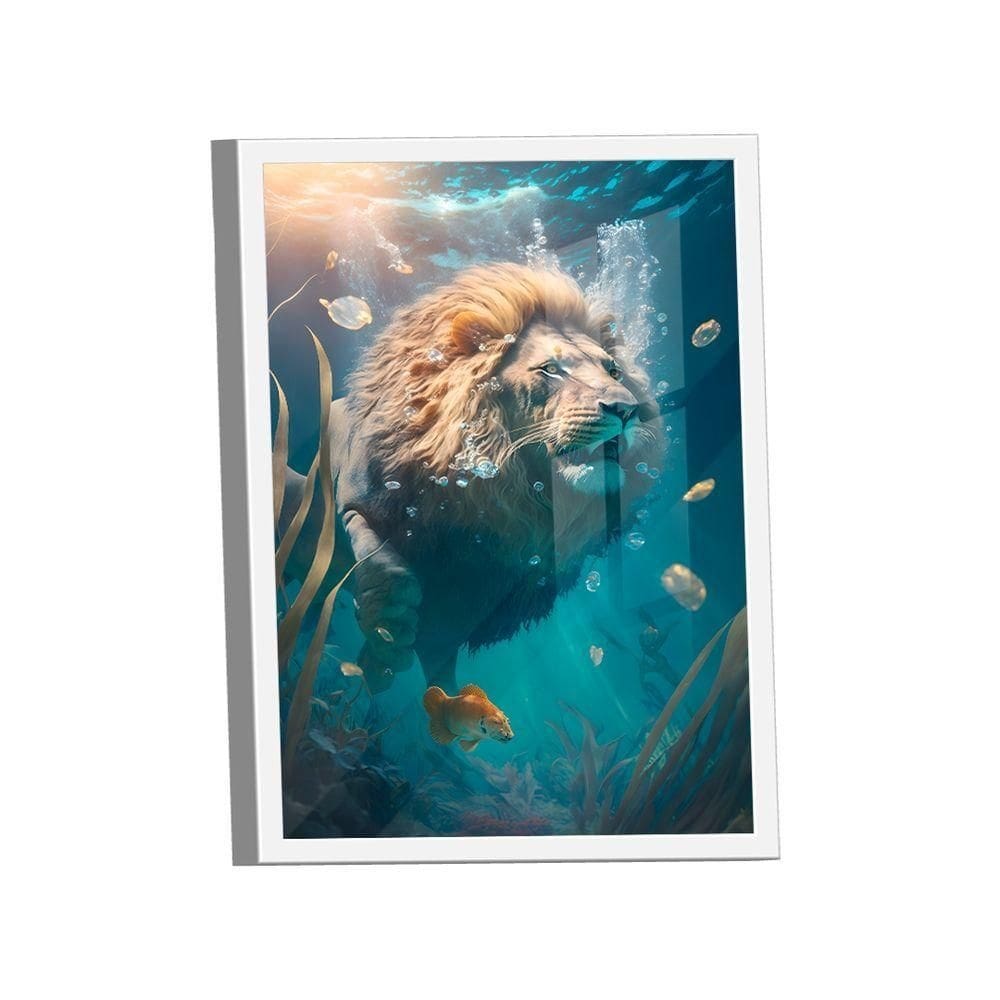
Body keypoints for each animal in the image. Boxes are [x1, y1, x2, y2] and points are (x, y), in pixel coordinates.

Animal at [281, 263, 664, 692]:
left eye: (613, 370)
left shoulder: (471, 602)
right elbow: (388, 566)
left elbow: (441, 670)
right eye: (550, 369)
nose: (628, 409)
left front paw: (383, 667)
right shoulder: (351, 499)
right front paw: (388, 635)